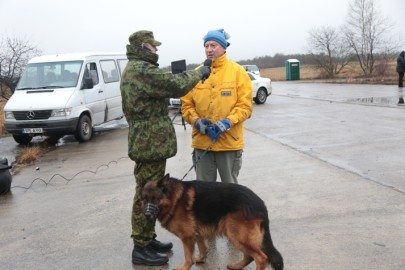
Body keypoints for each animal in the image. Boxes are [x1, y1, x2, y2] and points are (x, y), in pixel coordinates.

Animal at [140, 174, 282, 268]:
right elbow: (203, 248)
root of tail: (260, 203)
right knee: (249, 256)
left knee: (261, 258)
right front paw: (200, 259)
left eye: (155, 199)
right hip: (237, 236)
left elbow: (188, 256)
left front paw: (185, 267)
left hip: (236, 235)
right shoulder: (197, 233)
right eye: (144, 199)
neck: (174, 199)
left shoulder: (187, 236)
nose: (147, 215)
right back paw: (236, 266)